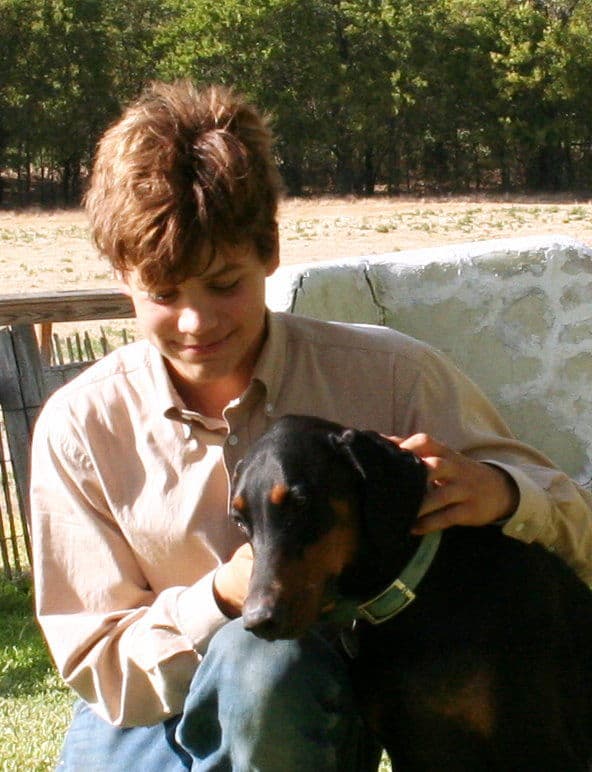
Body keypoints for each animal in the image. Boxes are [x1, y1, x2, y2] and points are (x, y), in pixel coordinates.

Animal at [230, 416, 592, 772]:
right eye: (239, 521)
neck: (418, 597)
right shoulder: (407, 748)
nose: (258, 621)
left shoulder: (538, 746)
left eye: (301, 503)